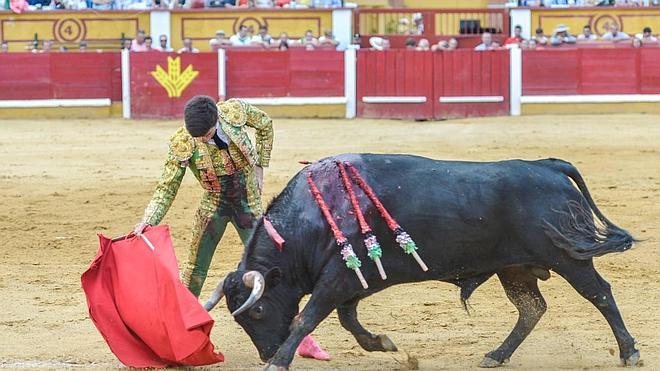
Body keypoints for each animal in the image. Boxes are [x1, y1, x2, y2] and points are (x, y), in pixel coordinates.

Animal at [205, 154, 640, 370]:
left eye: (257, 311)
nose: (266, 352)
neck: (314, 215)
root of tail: (547, 166)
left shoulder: (337, 277)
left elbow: (307, 317)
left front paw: (279, 363)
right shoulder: (352, 280)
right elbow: (347, 318)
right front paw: (379, 343)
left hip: (568, 258)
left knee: (601, 295)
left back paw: (629, 352)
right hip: (515, 269)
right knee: (532, 308)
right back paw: (496, 355)